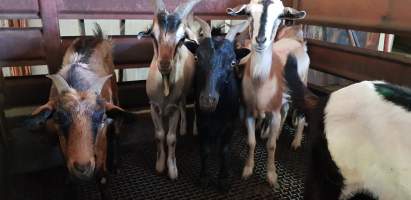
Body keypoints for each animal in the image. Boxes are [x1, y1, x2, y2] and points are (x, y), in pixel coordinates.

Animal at [26, 24, 135, 199]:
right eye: (58, 118)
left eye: (102, 118)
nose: (82, 167)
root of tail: (95, 37)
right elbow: (71, 179)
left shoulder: (101, 142)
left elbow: (102, 178)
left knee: (117, 130)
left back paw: (116, 165)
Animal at [194, 18, 251, 191]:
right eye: (197, 58)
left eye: (233, 62)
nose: (207, 101)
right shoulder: (202, 123)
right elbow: (204, 150)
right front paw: (204, 177)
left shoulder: (230, 124)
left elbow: (224, 151)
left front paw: (224, 178)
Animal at [227, 0, 308, 188]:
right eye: (248, 13)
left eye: (280, 16)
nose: (260, 40)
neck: (261, 81)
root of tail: (297, 42)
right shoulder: (249, 112)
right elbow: (251, 142)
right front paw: (247, 169)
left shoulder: (274, 114)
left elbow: (271, 146)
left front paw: (272, 176)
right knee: (286, 110)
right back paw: (278, 134)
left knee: (300, 115)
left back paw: (296, 142)